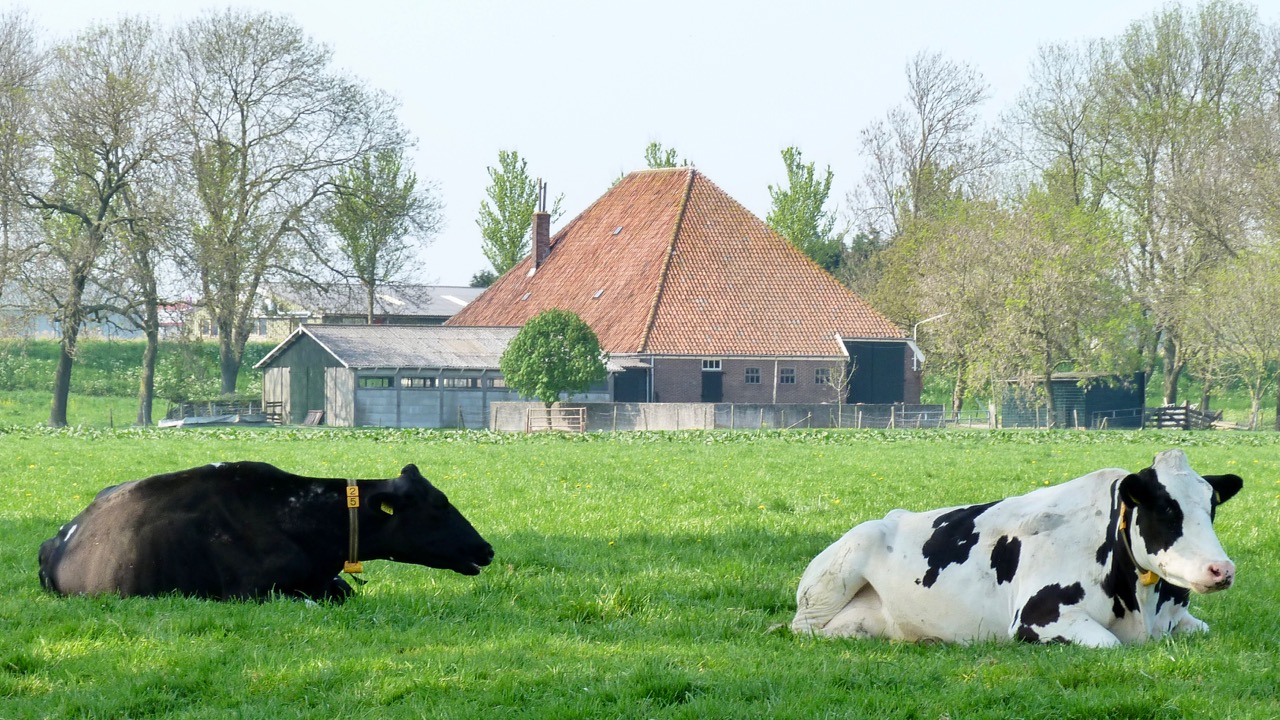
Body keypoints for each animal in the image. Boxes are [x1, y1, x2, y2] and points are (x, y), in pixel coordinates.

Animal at [788, 448, 1239, 645]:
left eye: (1211, 507)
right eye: (1164, 508)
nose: (1221, 569)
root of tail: (890, 516)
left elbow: (1203, 629)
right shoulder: (1036, 619)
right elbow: (1108, 643)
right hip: (835, 574)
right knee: (803, 627)